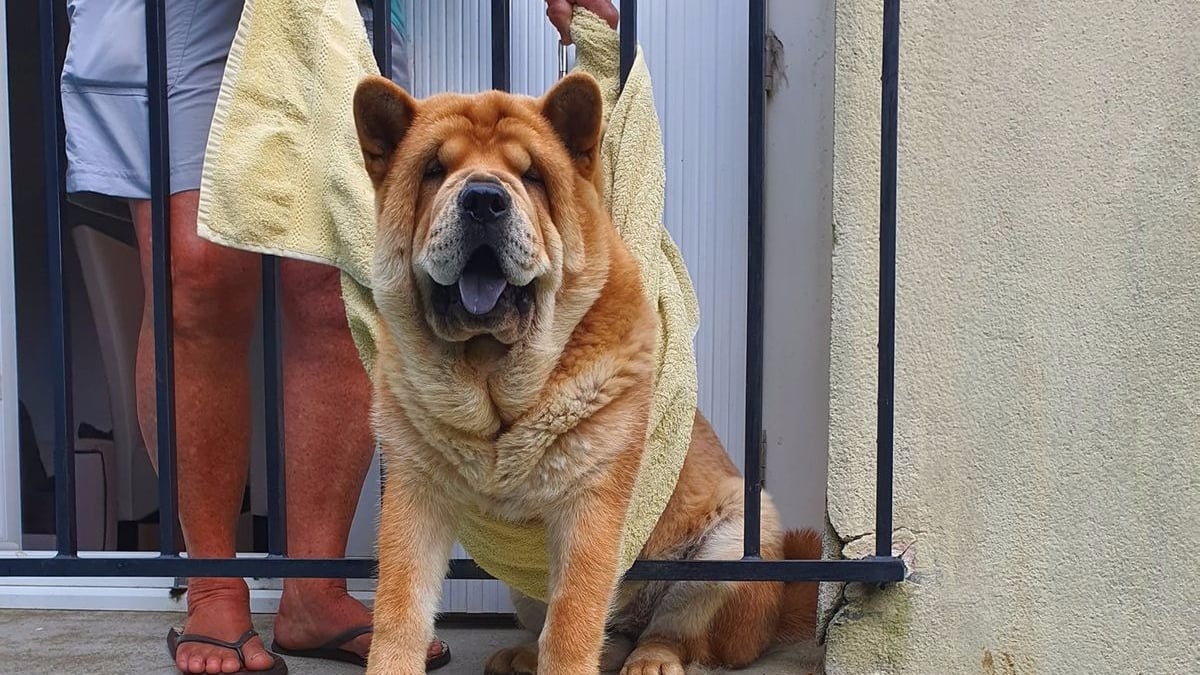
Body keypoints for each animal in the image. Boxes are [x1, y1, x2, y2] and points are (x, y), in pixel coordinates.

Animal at [350, 69, 820, 672]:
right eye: (435, 169)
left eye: (531, 175)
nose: (483, 199)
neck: (494, 389)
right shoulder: (415, 496)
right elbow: (400, 611)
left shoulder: (590, 507)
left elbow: (573, 623)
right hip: (523, 589)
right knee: (605, 633)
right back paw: (525, 655)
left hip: (733, 542)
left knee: (673, 632)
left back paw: (653, 657)